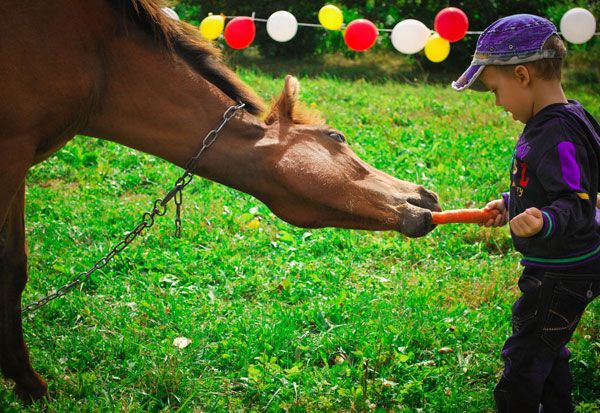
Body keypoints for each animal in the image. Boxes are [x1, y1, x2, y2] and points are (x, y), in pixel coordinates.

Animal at [0, 0, 440, 400]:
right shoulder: (12, 154)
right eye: (336, 136)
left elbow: (14, 268)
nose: (427, 195)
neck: (99, 59)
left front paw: (26, 382)